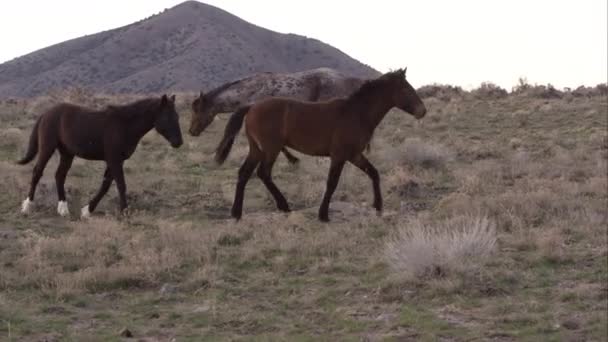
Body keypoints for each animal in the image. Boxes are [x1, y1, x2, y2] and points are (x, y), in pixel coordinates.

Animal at [214, 69, 428, 222]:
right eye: (406, 89)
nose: (422, 111)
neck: (356, 113)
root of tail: (252, 106)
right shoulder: (340, 155)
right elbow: (332, 183)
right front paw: (323, 215)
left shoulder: (354, 155)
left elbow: (373, 173)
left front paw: (378, 206)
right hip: (270, 149)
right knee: (263, 173)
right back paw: (283, 206)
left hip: (256, 149)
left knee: (244, 173)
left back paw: (237, 213)